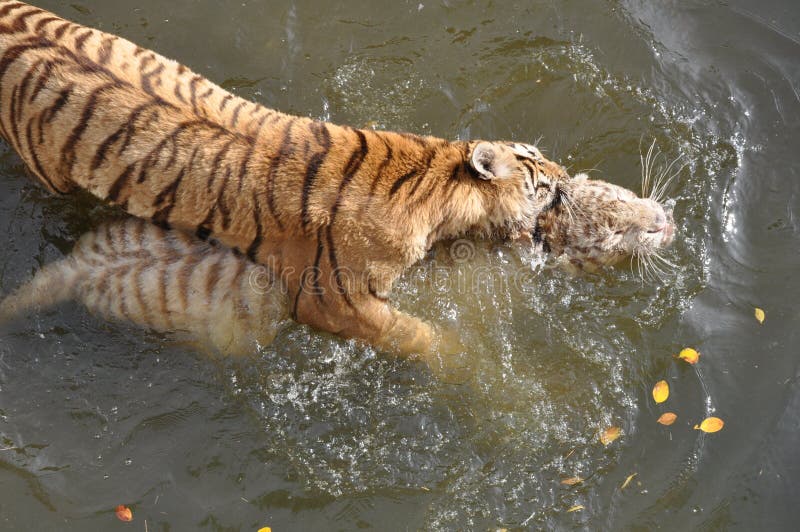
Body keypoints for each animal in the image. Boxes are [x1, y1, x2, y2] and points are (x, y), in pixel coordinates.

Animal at [0, 1, 675, 357]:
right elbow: (423, 336)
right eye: (541, 182)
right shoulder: (332, 300)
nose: (567, 180)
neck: (431, 174)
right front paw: (466, 361)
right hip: (49, 169)